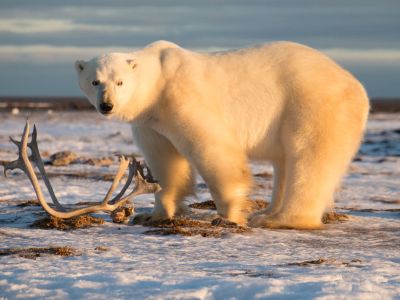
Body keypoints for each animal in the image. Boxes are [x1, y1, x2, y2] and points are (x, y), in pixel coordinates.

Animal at [74, 41, 368, 229]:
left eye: (120, 82)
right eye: (95, 81)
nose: (107, 105)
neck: (159, 80)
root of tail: (356, 85)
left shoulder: (182, 96)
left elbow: (211, 148)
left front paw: (229, 214)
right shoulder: (152, 121)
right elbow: (166, 162)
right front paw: (155, 214)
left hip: (311, 103)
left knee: (309, 158)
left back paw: (280, 219)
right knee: (285, 161)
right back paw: (269, 210)